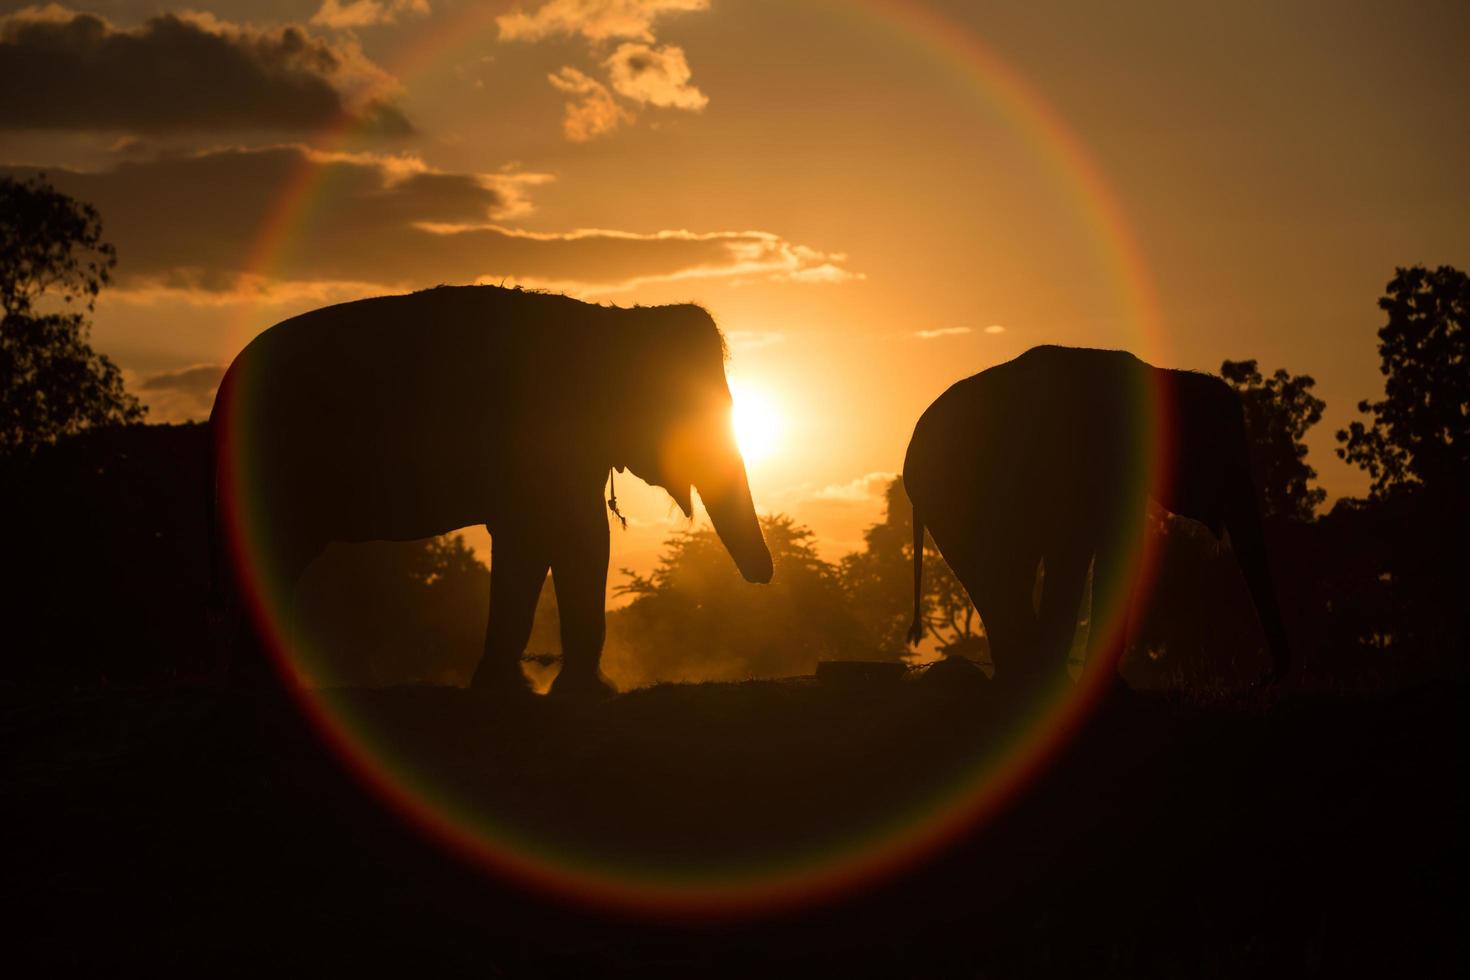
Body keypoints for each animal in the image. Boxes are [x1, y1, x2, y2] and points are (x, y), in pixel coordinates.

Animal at [214, 283, 782, 696]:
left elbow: (539, 543)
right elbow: (572, 538)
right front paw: (575, 693)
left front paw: (516, 689)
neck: (608, 322)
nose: (764, 578)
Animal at [899, 345, 1293, 690]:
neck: (1160, 377)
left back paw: (1015, 680)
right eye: (1220, 456)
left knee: (1003, 576)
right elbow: (1085, 552)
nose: (1262, 680)